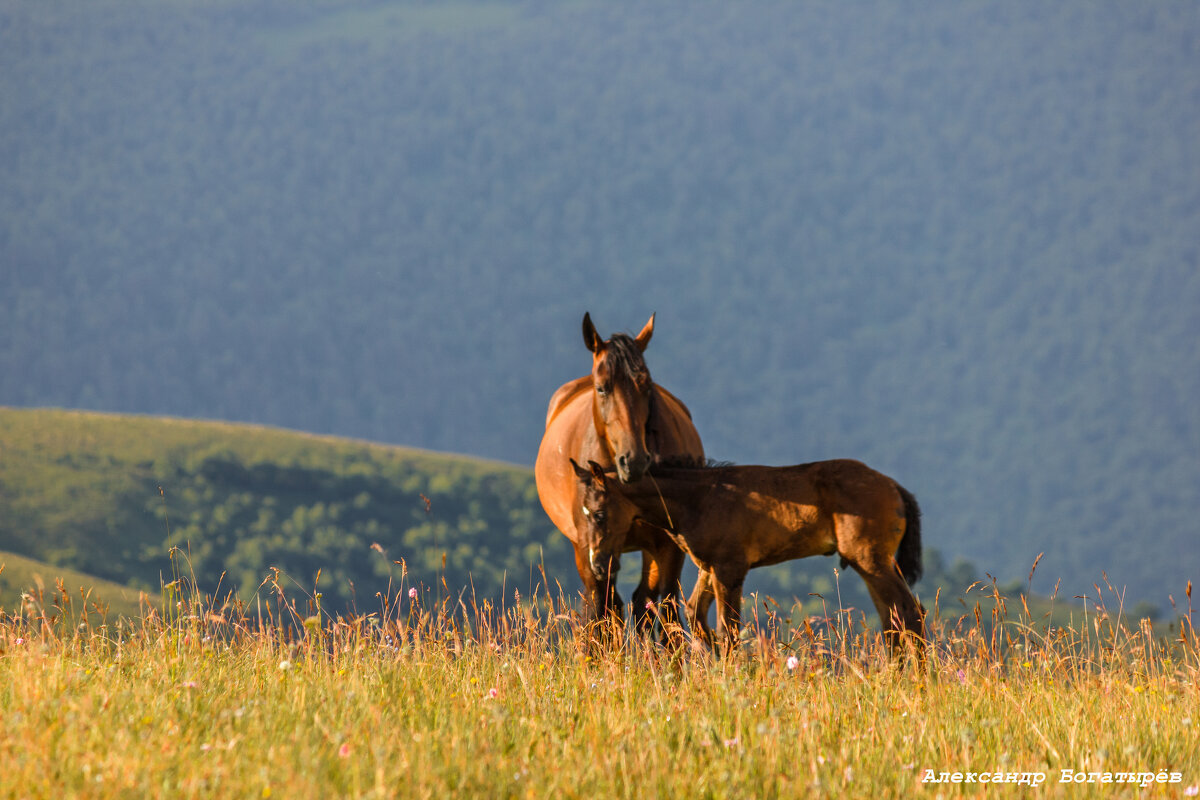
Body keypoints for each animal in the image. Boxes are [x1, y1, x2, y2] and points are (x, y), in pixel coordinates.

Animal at [535, 311, 700, 638]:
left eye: (646, 385)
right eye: (602, 388)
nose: (633, 460)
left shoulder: (668, 545)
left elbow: (667, 610)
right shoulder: (593, 548)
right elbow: (601, 609)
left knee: (641, 602)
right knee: (609, 605)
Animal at [571, 455, 926, 657]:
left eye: (599, 514)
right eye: (584, 512)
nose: (598, 565)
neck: (701, 499)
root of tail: (894, 487)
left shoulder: (729, 569)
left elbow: (728, 630)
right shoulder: (708, 567)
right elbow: (697, 616)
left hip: (871, 560)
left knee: (910, 612)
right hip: (874, 564)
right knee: (892, 618)